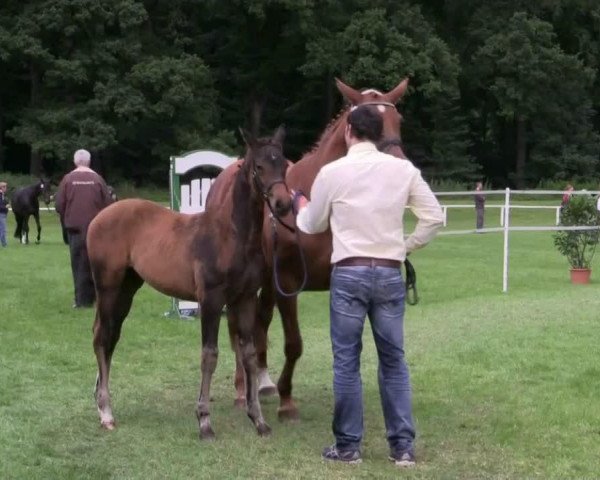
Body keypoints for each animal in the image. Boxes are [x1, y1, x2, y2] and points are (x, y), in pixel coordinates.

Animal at [88, 126, 292, 438]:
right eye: (259, 167)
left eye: (283, 164)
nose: (283, 204)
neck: (232, 236)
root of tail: (99, 216)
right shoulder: (211, 300)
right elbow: (209, 355)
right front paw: (204, 421)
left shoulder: (245, 299)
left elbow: (248, 354)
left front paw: (258, 420)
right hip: (108, 288)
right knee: (101, 337)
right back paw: (106, 412)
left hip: (127, 289)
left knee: (111, 336)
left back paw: (102, 402)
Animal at [206, 77, 408, 418]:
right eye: (370, 124)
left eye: (399, 120)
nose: (401, 169)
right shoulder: (288, 282)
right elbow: (294, 343)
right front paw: (287, 401)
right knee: (238, 328)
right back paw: (242, 388)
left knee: (260, 321)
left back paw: (262, 381)